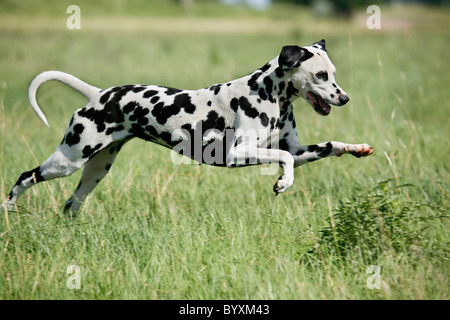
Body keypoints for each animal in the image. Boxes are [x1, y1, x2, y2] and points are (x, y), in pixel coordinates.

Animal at [0, 38, 372, 216]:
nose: (345, 98)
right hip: (68, 160)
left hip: (95, 169)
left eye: (333, 72)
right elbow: (285, 159)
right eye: (321, 75)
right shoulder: (238, 155)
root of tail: (98, 94)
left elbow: (320, 147)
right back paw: (9, 209)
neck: (268, 93)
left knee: (71, 203)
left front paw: (355, 148)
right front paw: (283, 182)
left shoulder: (296, 147)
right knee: (25, 177)